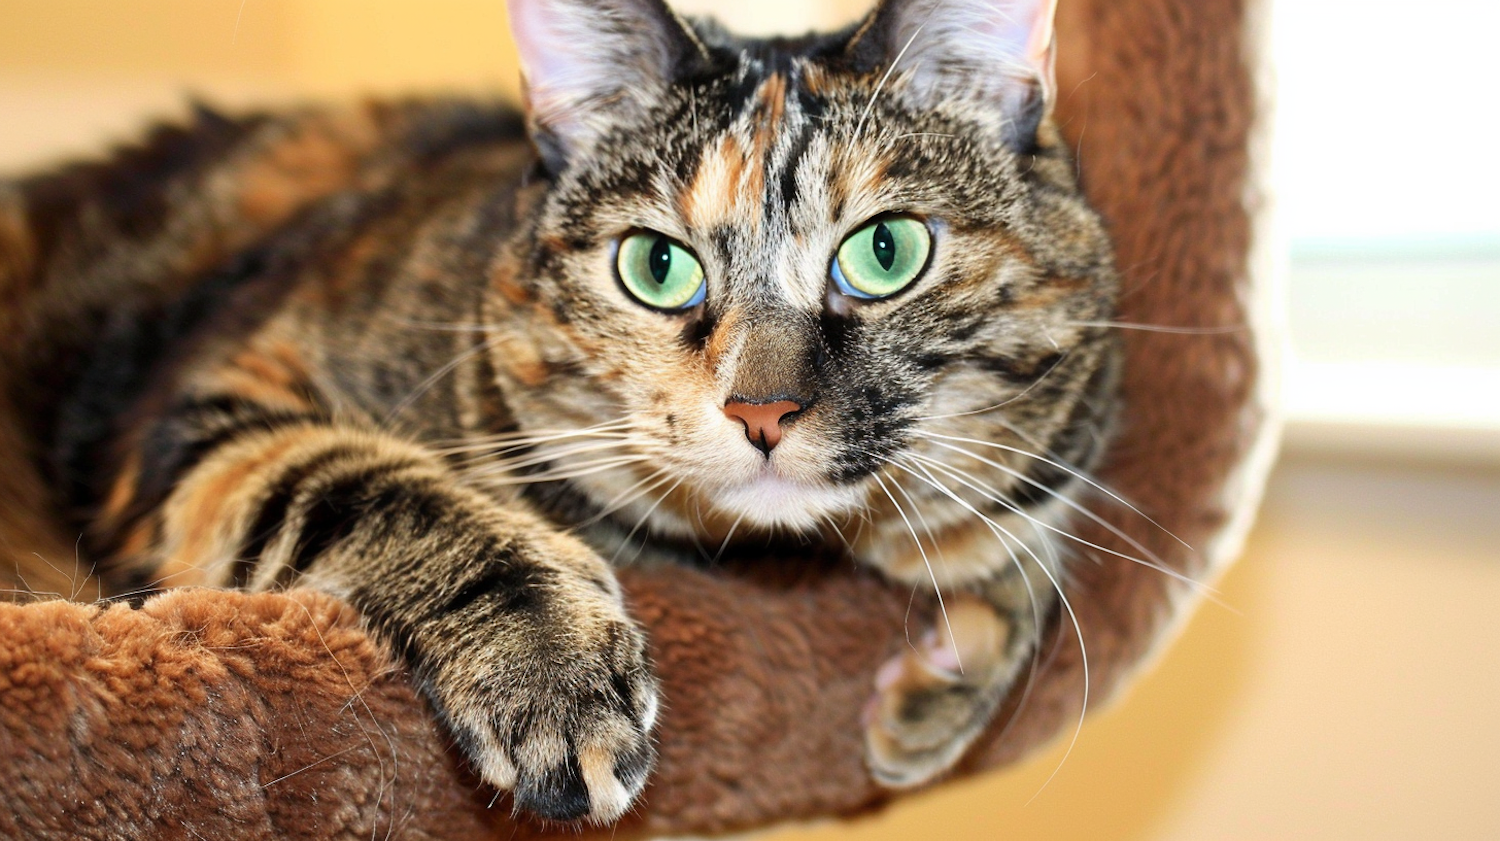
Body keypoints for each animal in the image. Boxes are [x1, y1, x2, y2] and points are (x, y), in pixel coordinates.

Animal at [0, 0, 1116, 821]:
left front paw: (950, 666)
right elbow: (363, 486)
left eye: (886, 252)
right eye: (656, 265)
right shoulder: (207, 400)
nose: (762, 410)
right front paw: (552, 670)